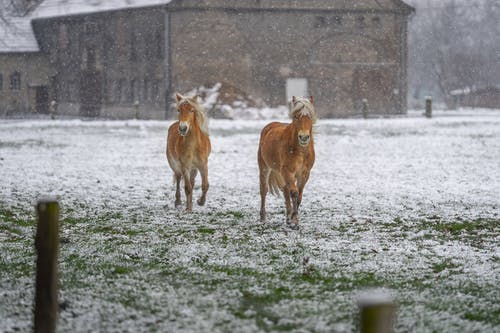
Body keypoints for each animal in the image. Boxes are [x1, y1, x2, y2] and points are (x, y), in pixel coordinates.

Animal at [258, 94, 316, 227]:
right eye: (296, 116)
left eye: (309, 116)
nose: (304, 137)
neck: (300, 150)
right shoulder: (288, 171)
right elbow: (293, 193)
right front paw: (295, 219)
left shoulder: (304, 173)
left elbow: (298, 195)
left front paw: (293, 219)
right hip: (264, 168)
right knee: (264, 190)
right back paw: (263, 218)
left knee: (285, 191)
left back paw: (288, 217)